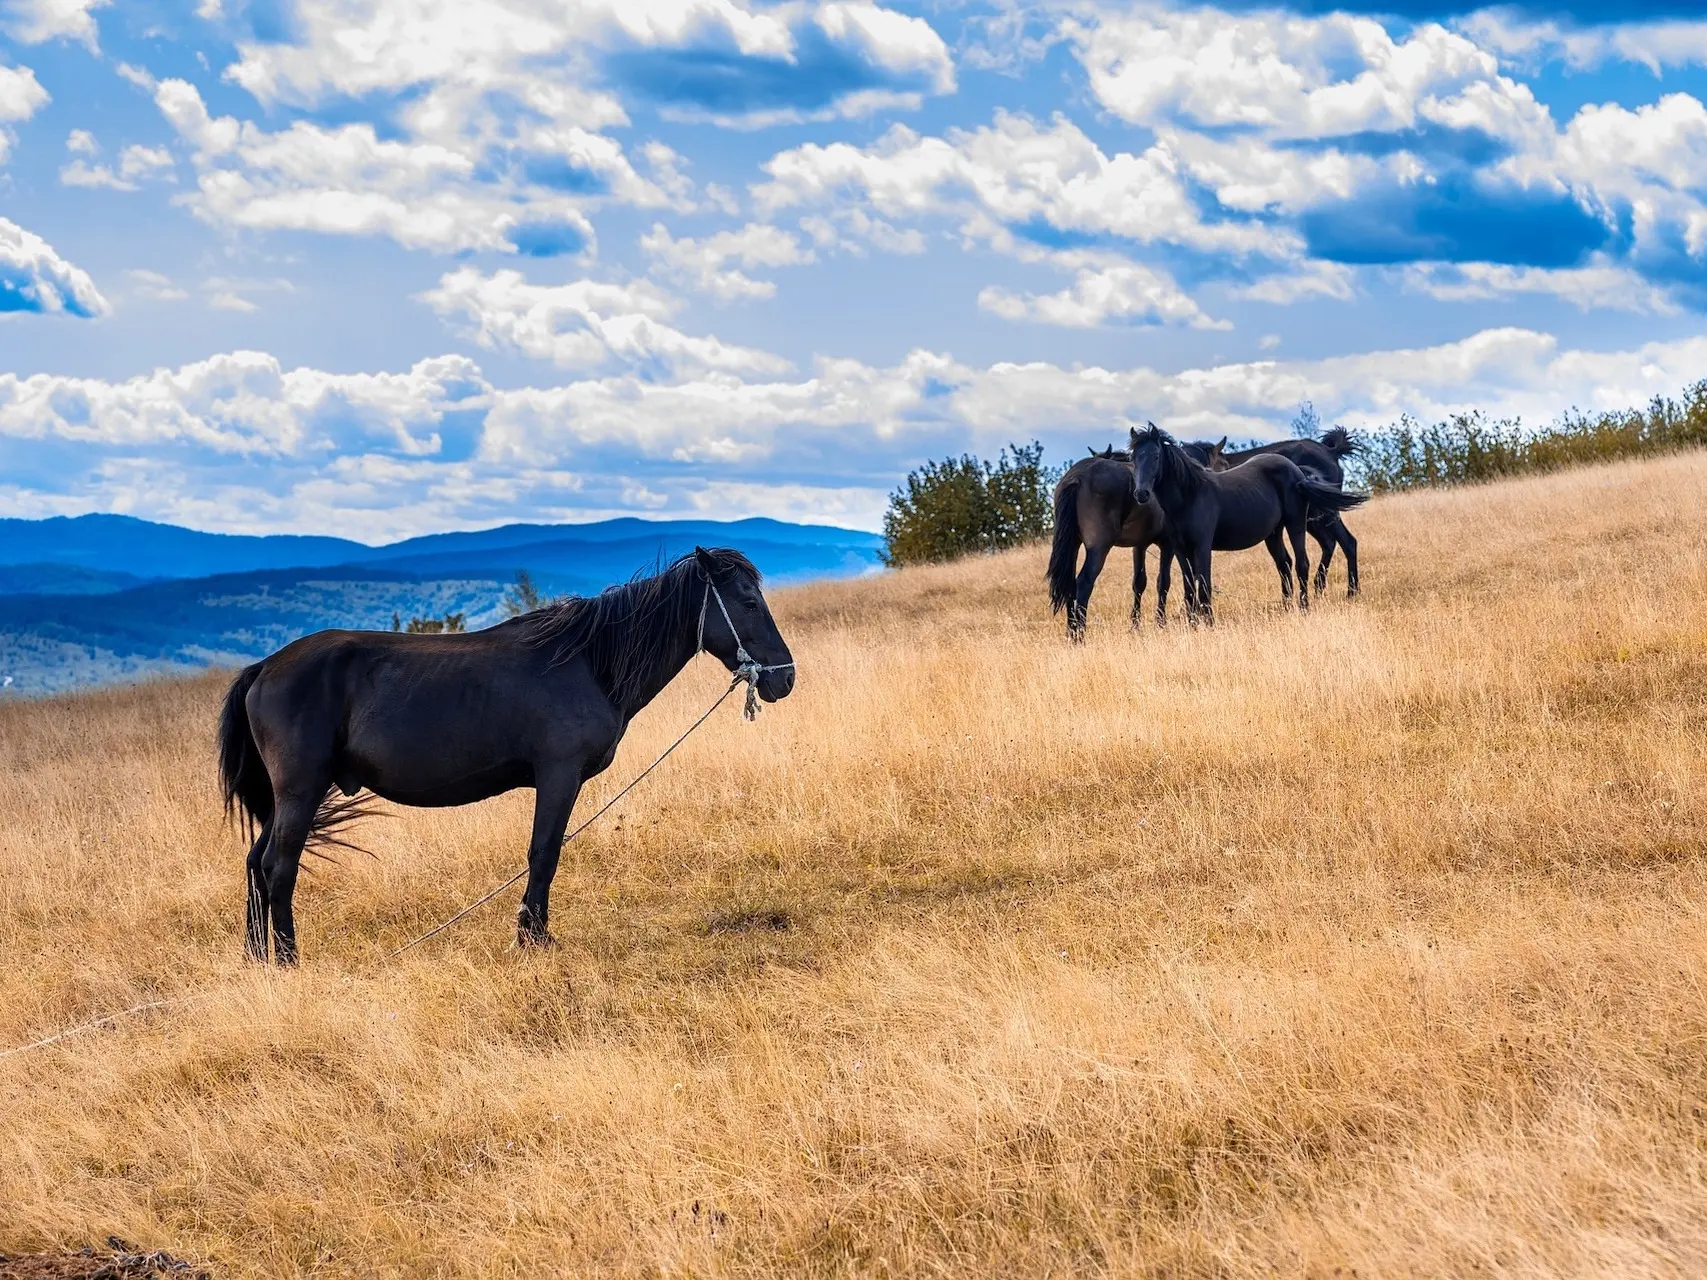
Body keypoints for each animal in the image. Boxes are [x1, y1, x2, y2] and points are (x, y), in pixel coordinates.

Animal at [216, 546, 795, 969]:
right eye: (747, 602)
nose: (784, 678)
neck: (590, 661)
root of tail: (264, 667)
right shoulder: (559, 775)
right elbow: (544, 853)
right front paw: (533, 939)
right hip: (301, 792)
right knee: (278, 866)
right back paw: (287, 959)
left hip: (288, 799)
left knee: (256, 863)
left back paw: (258, 958)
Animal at [1037, 447, 1174, 641]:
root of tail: (1076, 477)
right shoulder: (1168, 545)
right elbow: (1163, 582)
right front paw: (1161, 624)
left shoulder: (1139, 546)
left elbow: (1139, 582)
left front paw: (1136, 626)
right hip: (1099, 549)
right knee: (1084, 582)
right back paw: (1079, 636)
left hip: (1073, 546)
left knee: (1070, 584)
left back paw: (1072, 632)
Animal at [1133, 426, 1372, 628]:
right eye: (1133, 458)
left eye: (1156, 457)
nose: (1141, 494)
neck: (1190, 496)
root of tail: (1298, 471)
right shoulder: (1181, 550)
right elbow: (1189, 587)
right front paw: (1192, 623)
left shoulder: (1202, 547)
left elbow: (1205, 584)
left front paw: (1208, 623)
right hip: (1276, 532)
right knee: (1287, 563)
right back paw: (1289, 607)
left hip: (1298, 523)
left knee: (1307, 561)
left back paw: (1312, 605)